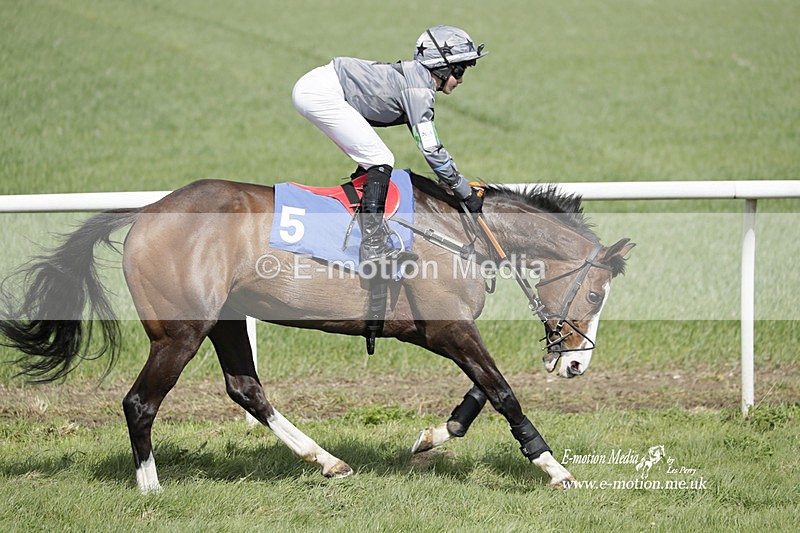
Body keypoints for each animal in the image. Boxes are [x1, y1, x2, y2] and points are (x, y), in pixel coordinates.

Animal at [0, 171, 634, 493]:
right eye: (595, 294)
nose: (576, 363)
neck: (463, 231)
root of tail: (148, 210)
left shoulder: (442, 331)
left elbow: (483, 388)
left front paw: (434, 436)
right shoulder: (448, 327)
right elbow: (502, 390)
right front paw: (553, 467)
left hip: (226, 320)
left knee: (246, 389)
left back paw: (328, 461)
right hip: (179, 333)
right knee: (139, 402)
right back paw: (152, 489)